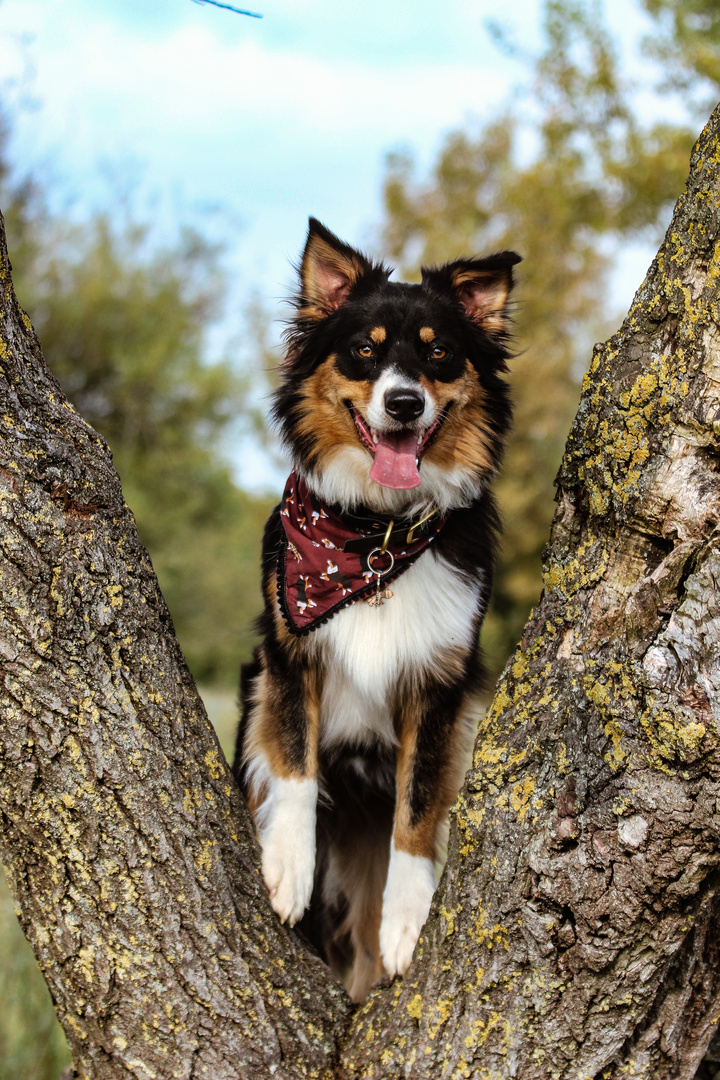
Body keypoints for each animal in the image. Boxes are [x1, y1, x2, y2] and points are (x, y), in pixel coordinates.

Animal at [234, 219, 520, 1002]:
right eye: (364, 350)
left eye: (439, 352)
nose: (403, 404)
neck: (375, 540)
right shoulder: (287, 651)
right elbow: (294, 762)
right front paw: (288, 867)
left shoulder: (440, 687)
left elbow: (417, 811)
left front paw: (407, 920)